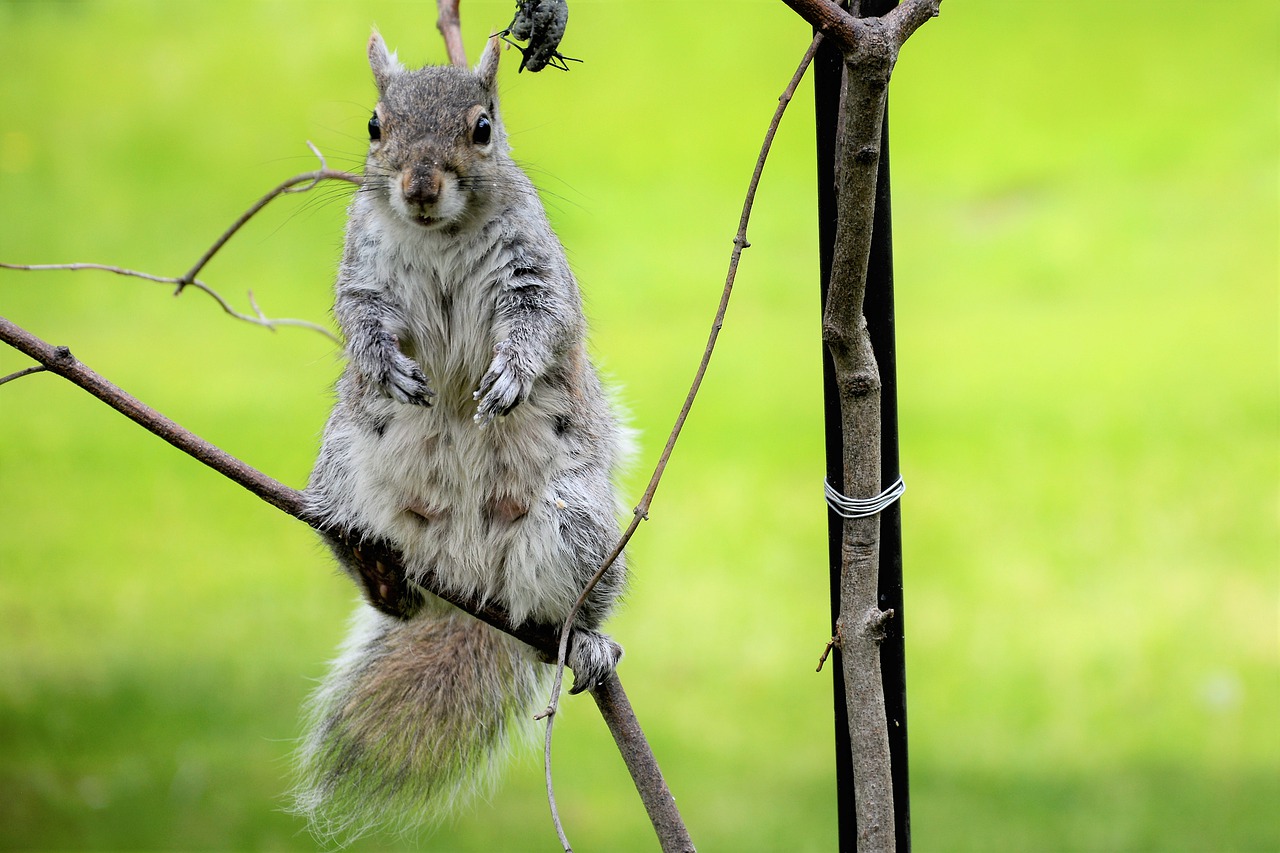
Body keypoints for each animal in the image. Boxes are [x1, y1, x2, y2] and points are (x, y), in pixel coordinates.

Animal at [291, 31, 629, 835]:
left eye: (482, 128)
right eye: (375, 125)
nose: (418, 185)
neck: (439, 234)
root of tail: (463, 580)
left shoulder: (533, 273)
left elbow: (540, 321)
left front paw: (510, 374)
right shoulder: (363, 270)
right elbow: (361, 316)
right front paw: (384, 365)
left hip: (575, 526)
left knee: (562, 619)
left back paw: (584, 641)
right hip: (340, 473)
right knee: (378, 574)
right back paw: (377, 571)